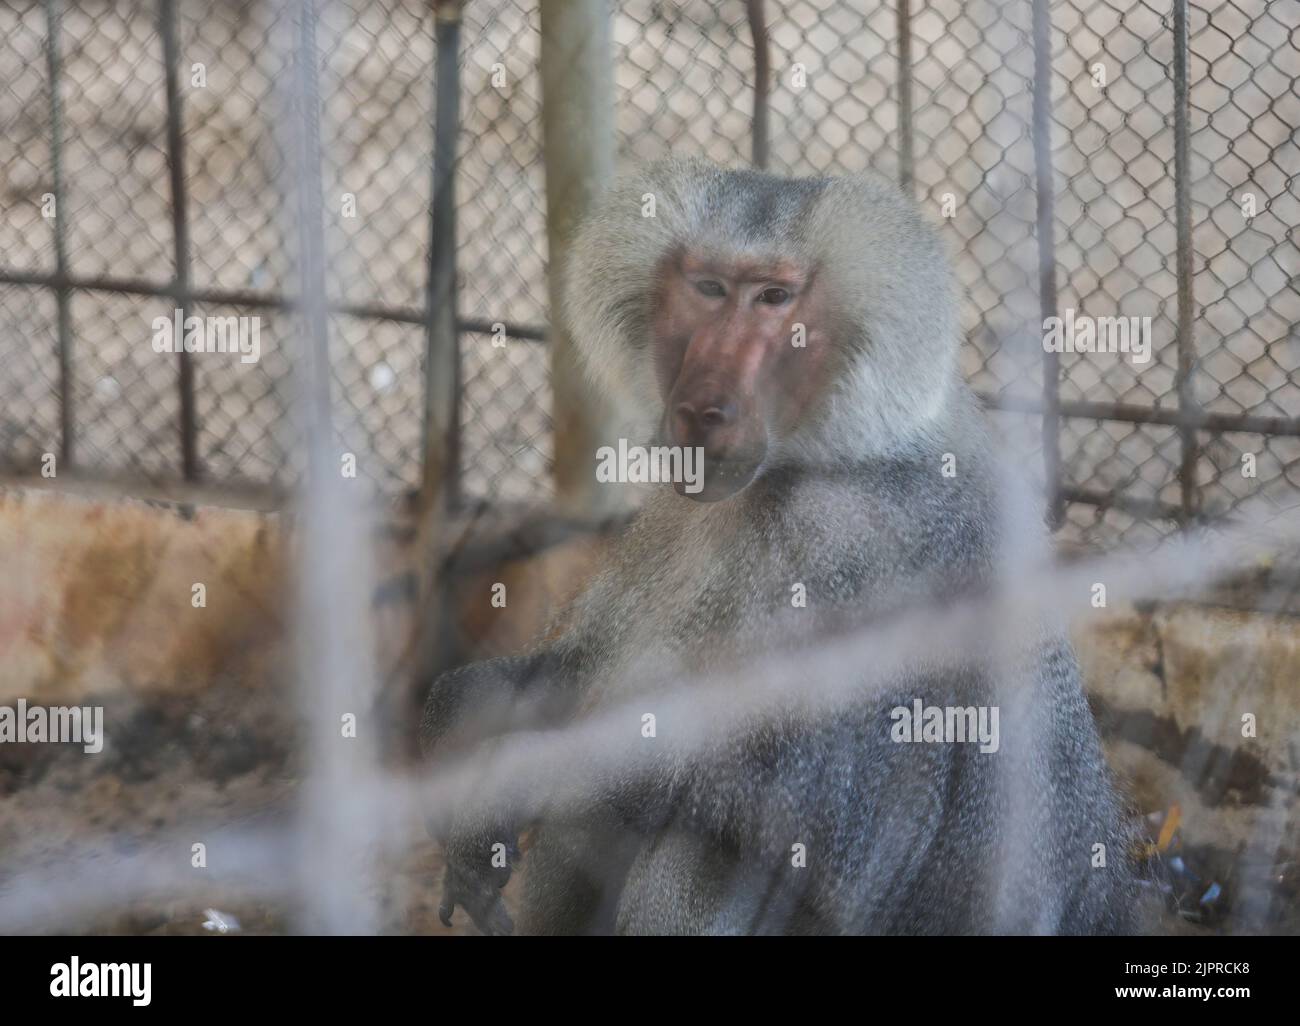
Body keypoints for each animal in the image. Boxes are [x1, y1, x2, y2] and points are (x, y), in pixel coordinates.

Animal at [419, 157, 1142, 935]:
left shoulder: (859, 545)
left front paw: (507, 786)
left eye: (774, 299)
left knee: (695, 843)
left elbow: (778, 798)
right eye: (709, 289)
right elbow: (584, 671)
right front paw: (461, 730)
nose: (703, 407)